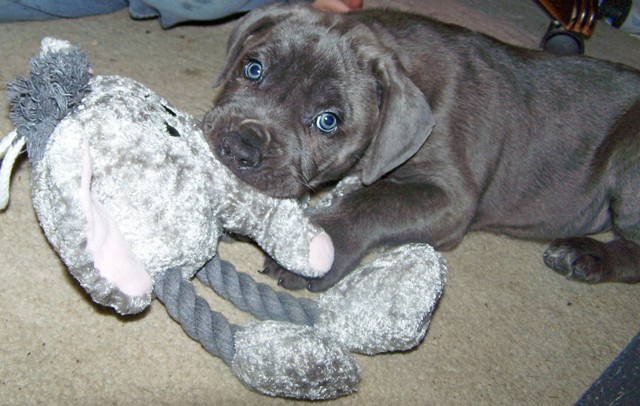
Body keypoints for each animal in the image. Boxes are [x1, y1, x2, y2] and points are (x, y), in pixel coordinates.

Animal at [204, 2, 640, 288]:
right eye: (253, 69)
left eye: (328, 121)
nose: (238, 149)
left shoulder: (453, 197)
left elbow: (375, 201)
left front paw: (319, 246)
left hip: (630, 162)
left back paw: (585, 255)